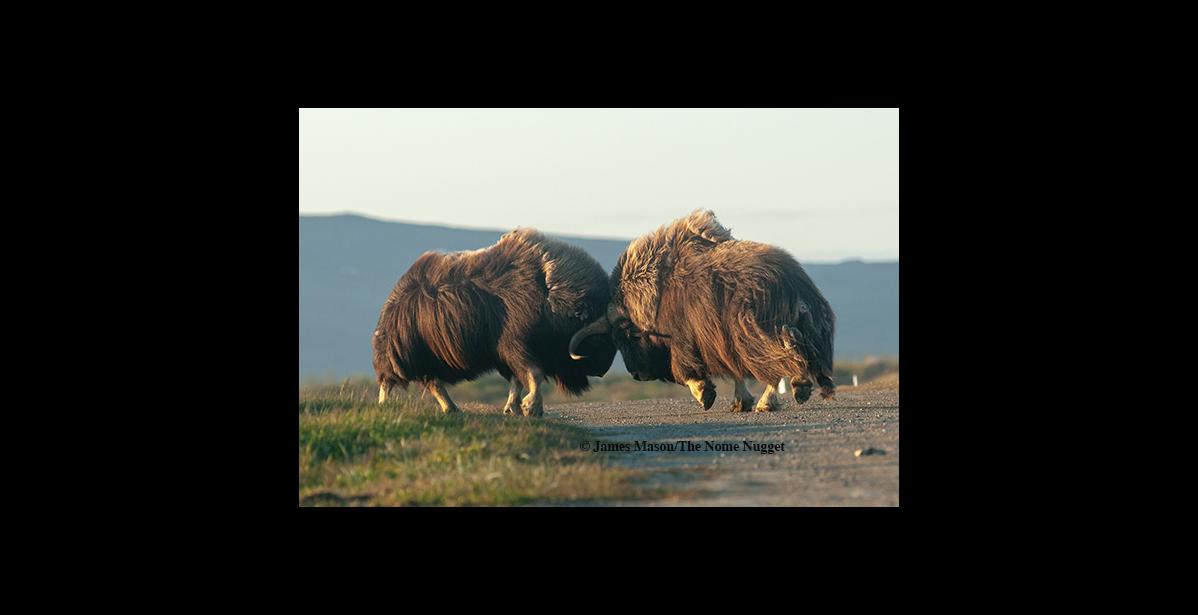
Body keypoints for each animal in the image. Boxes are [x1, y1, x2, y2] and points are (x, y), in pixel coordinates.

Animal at [372, 228, 616, 416]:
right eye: (598, 339)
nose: (602, 371)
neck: (549, 295)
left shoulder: (509, 354)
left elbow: (517, 380)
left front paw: (513, 408)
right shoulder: (516, 345)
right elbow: (533, 373)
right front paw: (532, 408)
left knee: (432, 383)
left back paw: (452, 408)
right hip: (406, 354)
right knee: (395, 380)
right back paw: (385, 405)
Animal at [568, 209, 835, 413]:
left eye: (624, 337)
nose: (637, 374)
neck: (655, 293)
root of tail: (794, 284)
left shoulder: (687, 339)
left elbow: (687, 370)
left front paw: (705, 396)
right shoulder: (722, 341)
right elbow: (736, 370)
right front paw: (740, 403)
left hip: (756, 331)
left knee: (779, 359)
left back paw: (779, 397)